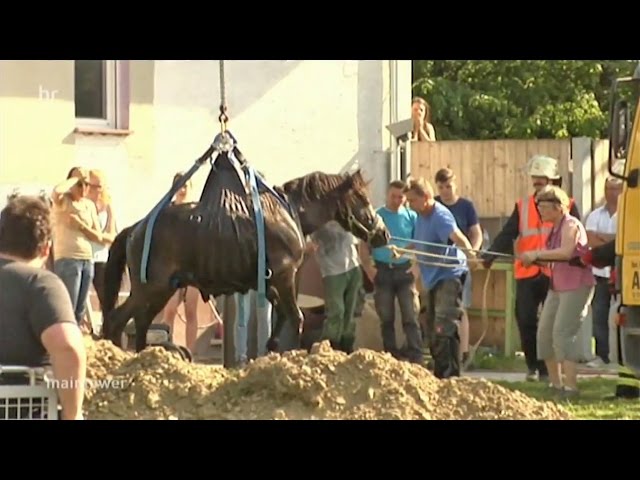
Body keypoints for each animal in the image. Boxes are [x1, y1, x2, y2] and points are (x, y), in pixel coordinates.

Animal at [101, 152, 390, 354]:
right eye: (363, 200)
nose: (383, 234)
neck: (288, 212)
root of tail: (135, 228)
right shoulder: (284, 276)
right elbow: (296, 316)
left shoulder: (271, 281)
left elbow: (283, 314)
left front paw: (272, 346)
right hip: (151, 288)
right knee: (118, 320)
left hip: (162, 289)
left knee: (141, 322)